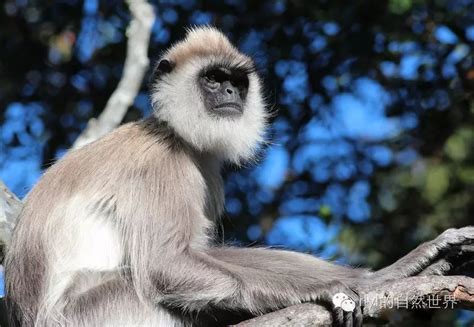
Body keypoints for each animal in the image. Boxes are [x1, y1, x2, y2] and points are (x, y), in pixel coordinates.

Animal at [4, 26, 474, 327]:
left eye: (236, 81)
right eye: (213, 79)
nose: (229, 93)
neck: (173, 133)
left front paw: (384, 275)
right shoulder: (164, 164)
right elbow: (166, 264)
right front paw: (316, 291)